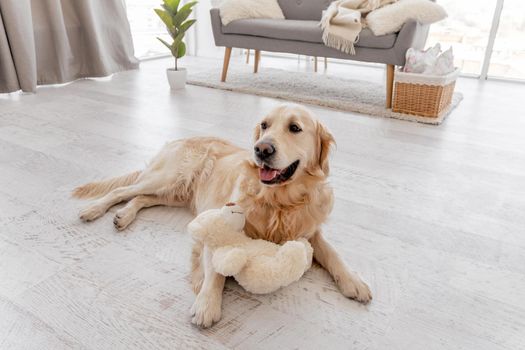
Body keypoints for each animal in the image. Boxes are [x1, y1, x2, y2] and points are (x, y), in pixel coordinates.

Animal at [72, 102, 372, 326]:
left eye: (295, 128)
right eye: (264, 125)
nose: (261, 149)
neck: (279, 201)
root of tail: (179, 139)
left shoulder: (309, 230)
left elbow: (333, 252)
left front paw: (354, 282)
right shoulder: (220, 218)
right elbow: (214, 268)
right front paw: (207, 304)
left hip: (174, 194)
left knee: (140, 199)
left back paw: (123, 216)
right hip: (166, 178)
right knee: (122, 189)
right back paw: (93, 209)